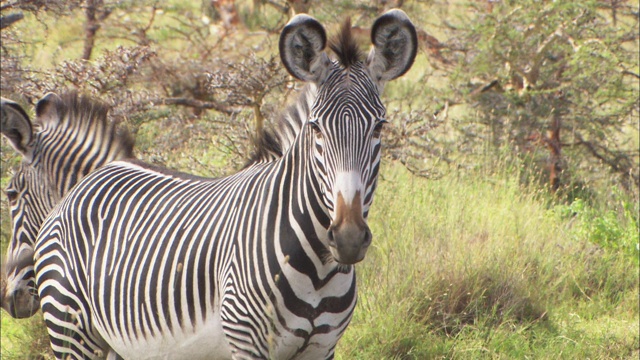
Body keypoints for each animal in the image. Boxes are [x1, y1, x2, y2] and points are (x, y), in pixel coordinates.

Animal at [33, 9, 416, 360]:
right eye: (315, 128)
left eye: (380, 127)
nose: (348, 238)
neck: (319, 270)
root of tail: (90, 178)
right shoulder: (246, 344)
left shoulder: (322, 348)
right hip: (71, 328)